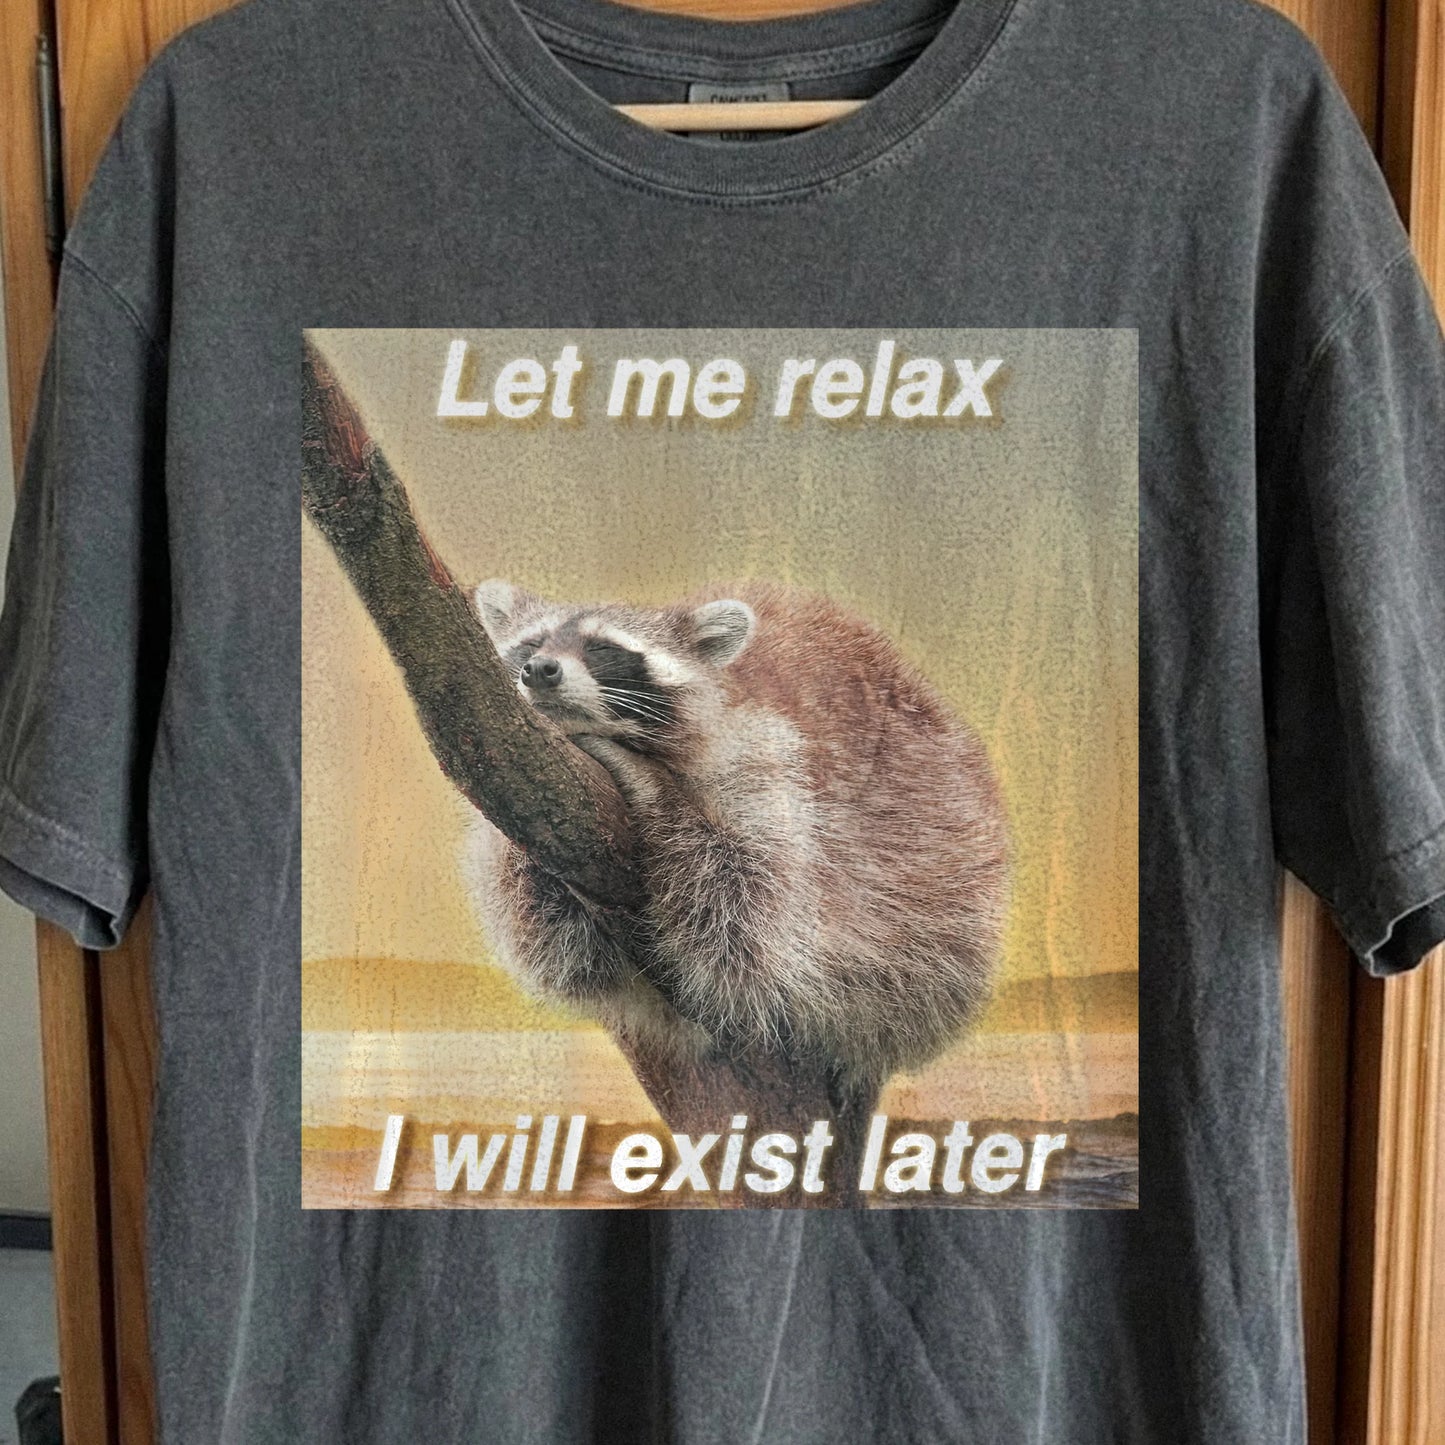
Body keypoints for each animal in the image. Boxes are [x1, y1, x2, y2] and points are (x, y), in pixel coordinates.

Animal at [460, 578, 1009, 1086]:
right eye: (532, 644)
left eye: (603, 649)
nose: (540, 670)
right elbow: (560, 953)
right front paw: (524, 860)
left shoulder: (766, 765)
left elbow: (746, 913)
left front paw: (654, 790)